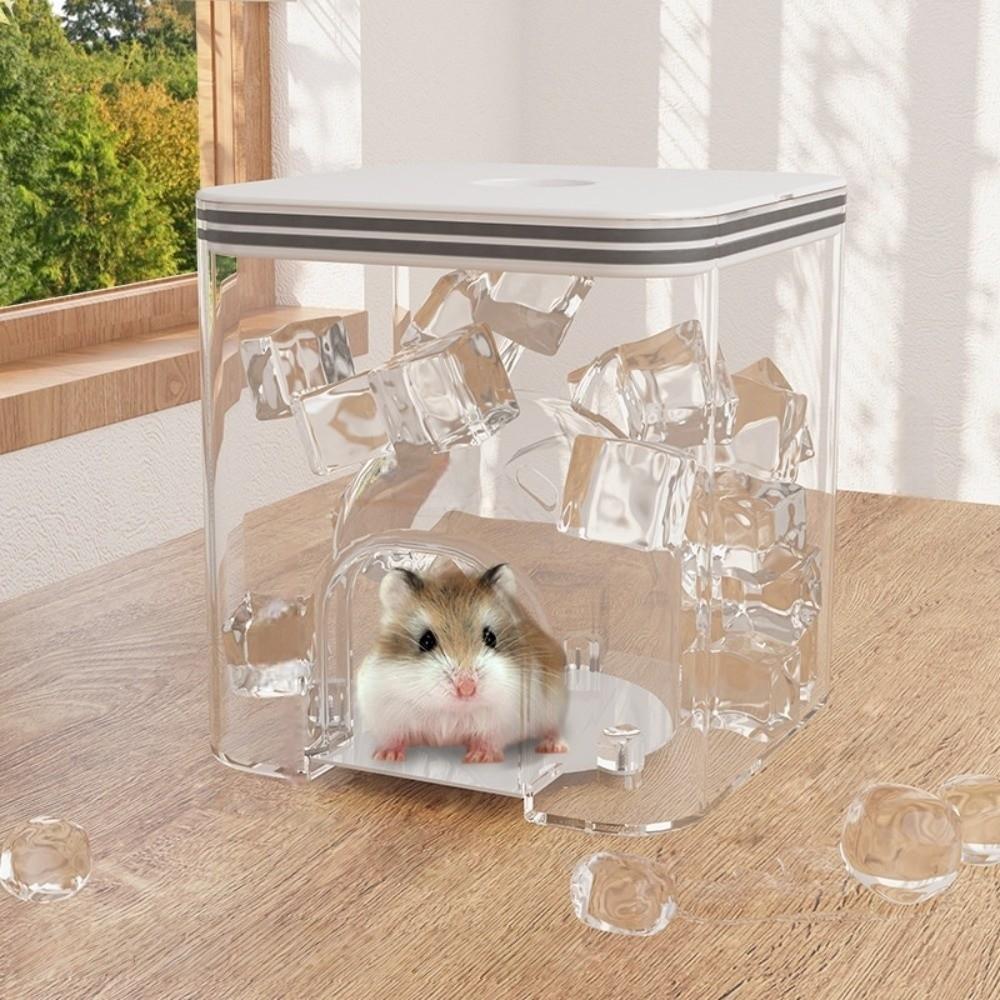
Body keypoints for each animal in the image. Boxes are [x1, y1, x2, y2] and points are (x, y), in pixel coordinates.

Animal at [356, 563, 568, 764]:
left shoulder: (503, 720)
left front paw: (479, 758)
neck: (450, 710)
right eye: (426, 641)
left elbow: (488, 739)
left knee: (553, 729)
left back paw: (554, 747)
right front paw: (385, 756)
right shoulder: (388, 715)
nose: (467, 689)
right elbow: (395, 737)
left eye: (491, 638)